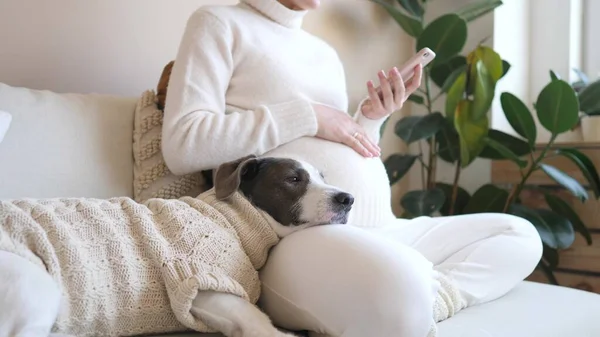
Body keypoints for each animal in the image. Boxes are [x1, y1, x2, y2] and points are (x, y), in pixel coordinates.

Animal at [0, 154, 354, 336]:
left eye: (323, 176)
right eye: (293, 179)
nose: (348, 198)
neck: (234, 219)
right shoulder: (197, 277)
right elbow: (258, 321)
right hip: (36, 290)